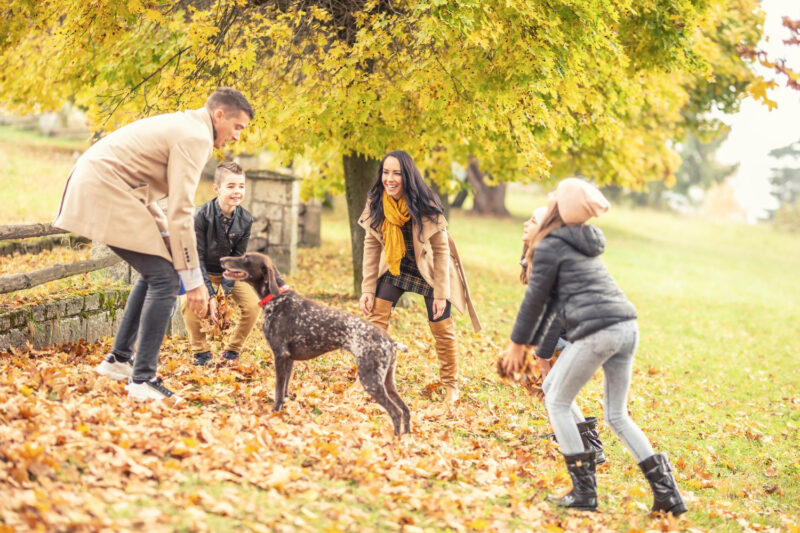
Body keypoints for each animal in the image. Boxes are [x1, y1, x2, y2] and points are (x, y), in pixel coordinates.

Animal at [222, 251, 412, 434]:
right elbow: (284, 390)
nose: (222, 259)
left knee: (396, 412)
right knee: (405, 410)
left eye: (245, 258)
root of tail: (390, 341)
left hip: (371, 379)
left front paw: (275, 413)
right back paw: (407, 437)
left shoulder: (280, 356)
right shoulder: (289, 359)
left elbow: (278, 391)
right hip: (387, 381)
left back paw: (395, 440)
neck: (276, 299)